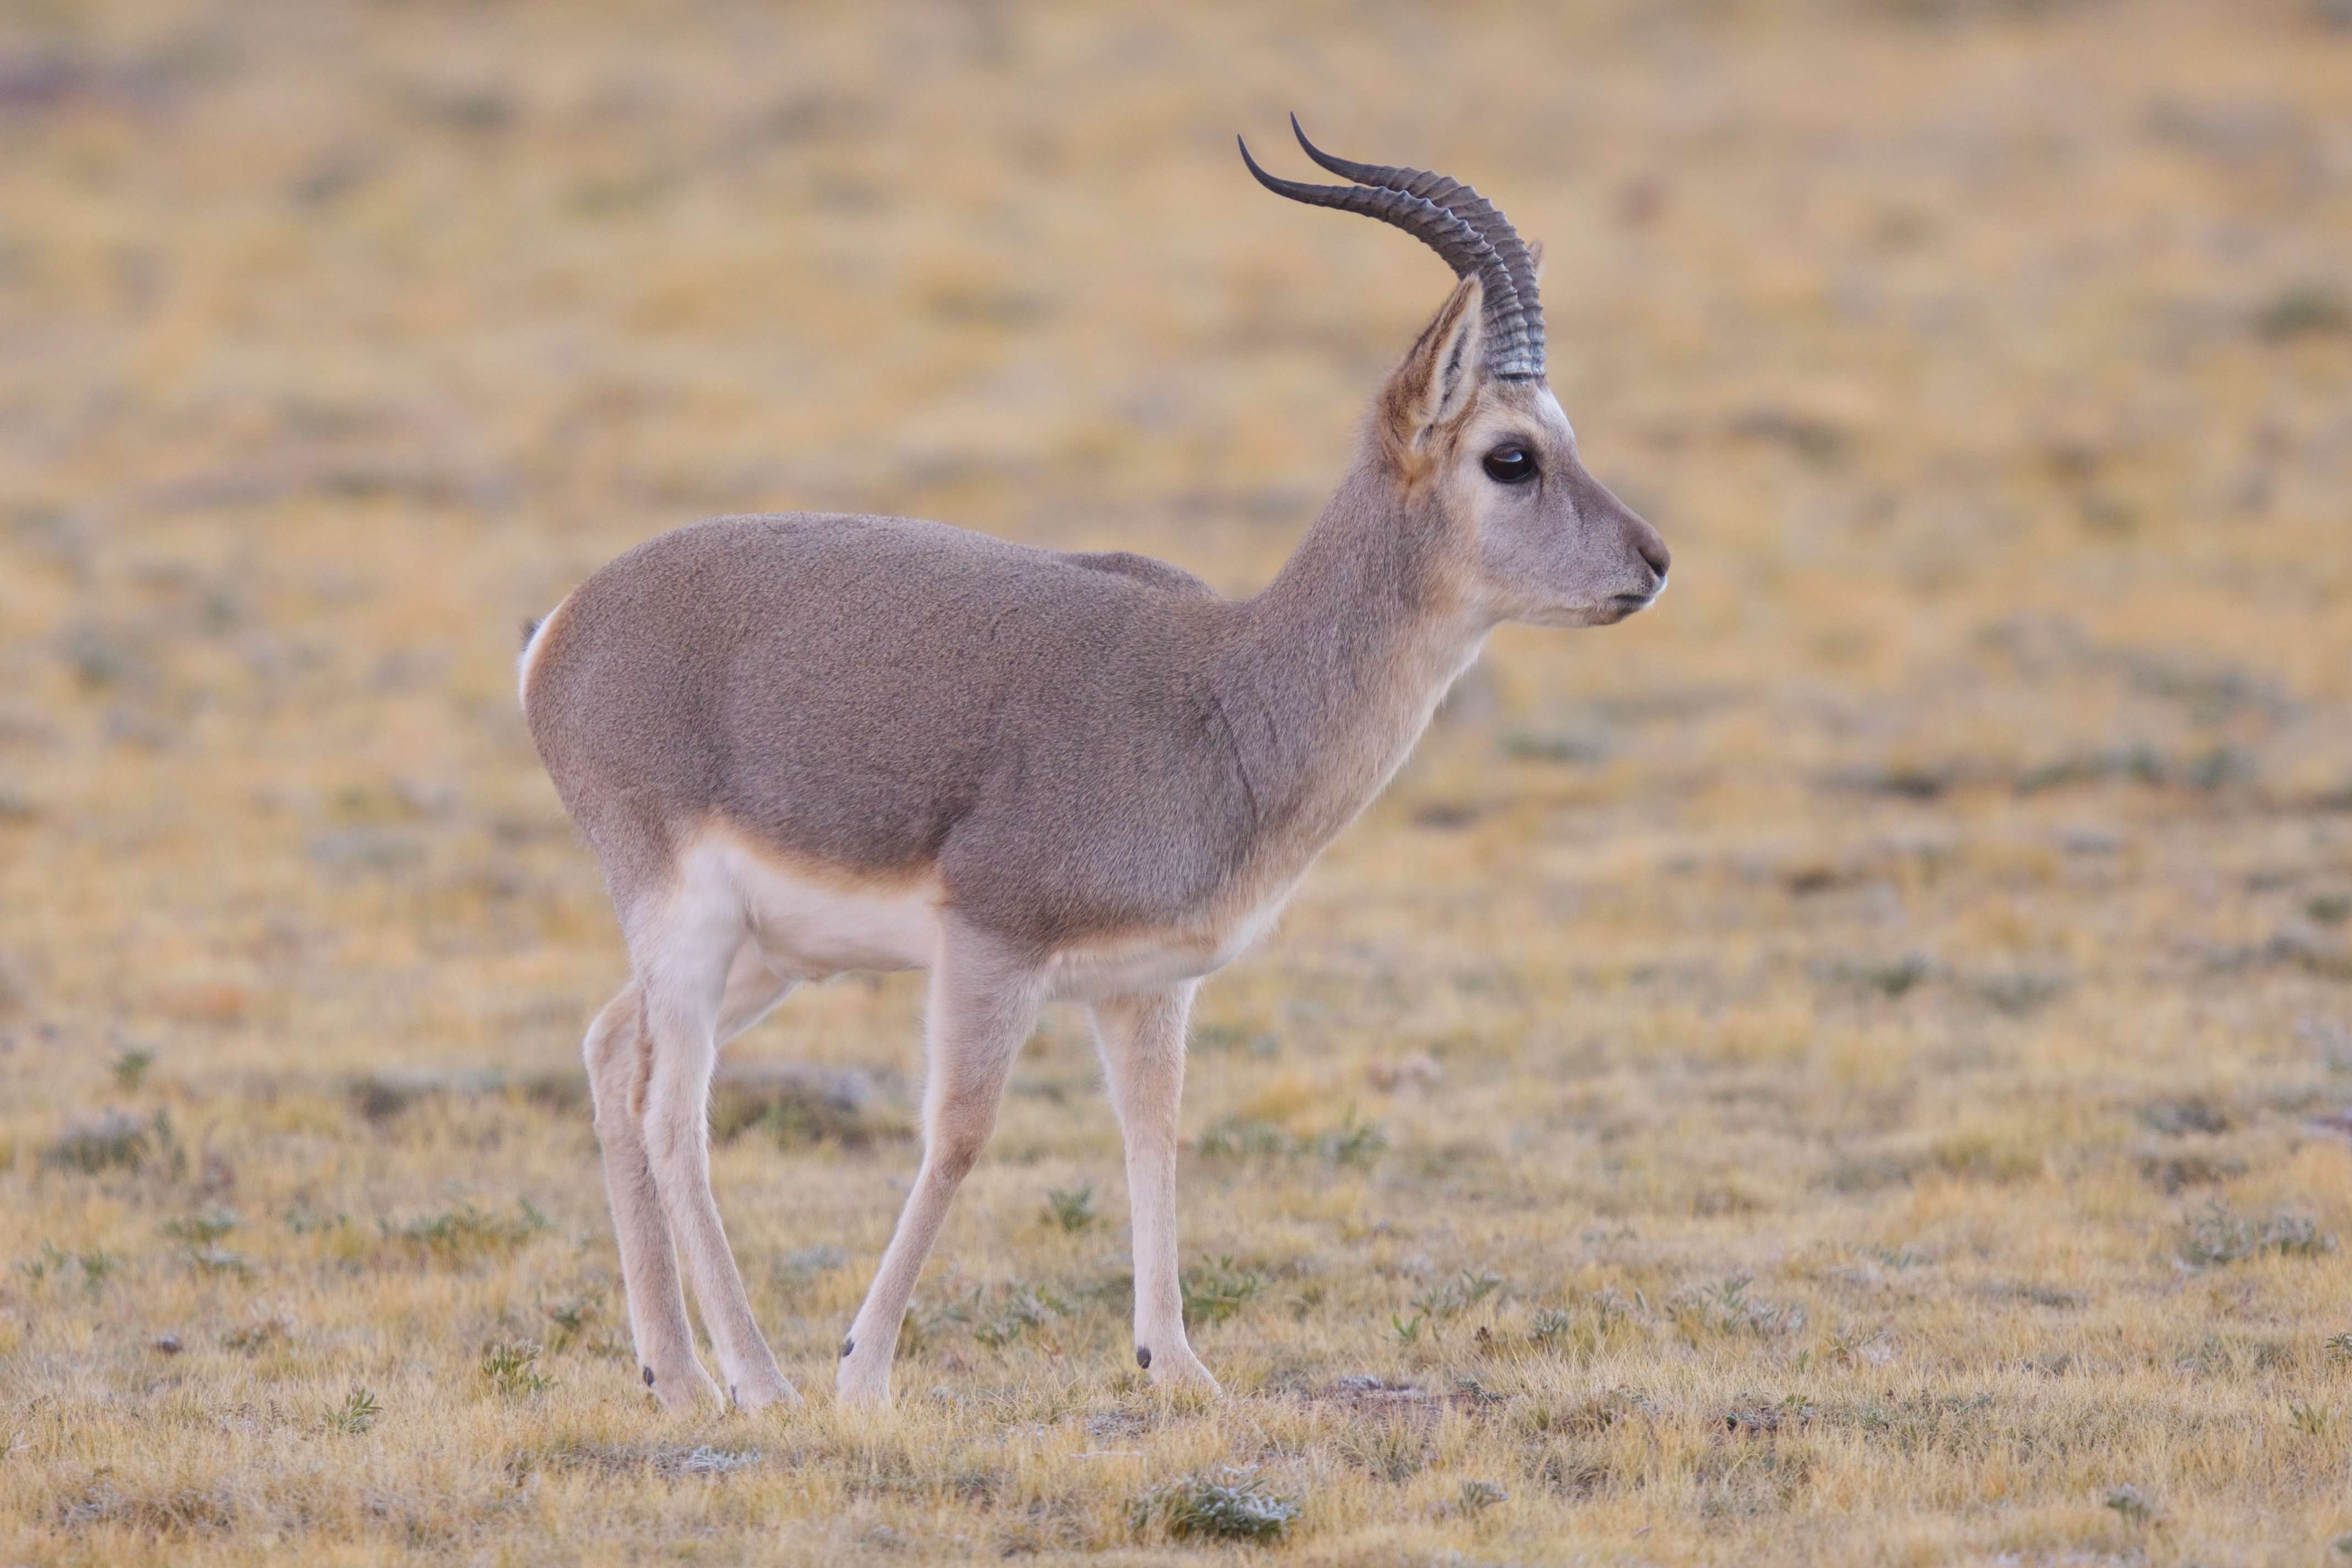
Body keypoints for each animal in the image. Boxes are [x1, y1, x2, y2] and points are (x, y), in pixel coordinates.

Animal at [519, 119, 1668, 1412]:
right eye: (1509, 456)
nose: (1654, 560)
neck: (1222, 692)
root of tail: (563, 625)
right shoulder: (993, 946)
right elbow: (961, 1136)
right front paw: (865, 1370)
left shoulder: (1146, 983)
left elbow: (1153, 1134)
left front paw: (1177, 1364)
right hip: (695, 924)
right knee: (674, 1110)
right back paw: (761, 1381)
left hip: (771, 954)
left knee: (611, 1051)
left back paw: (676, 1375)